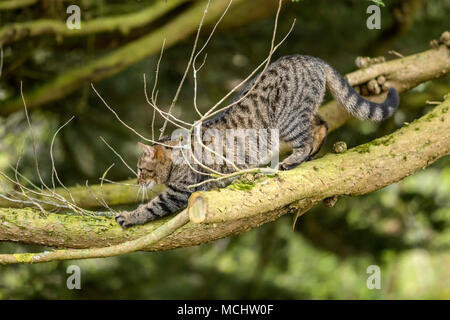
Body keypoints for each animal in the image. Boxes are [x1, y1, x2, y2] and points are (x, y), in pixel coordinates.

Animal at [115, 54, 398, 228]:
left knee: (305, 139)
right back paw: (310, 154)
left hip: (288, 119)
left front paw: (128, 216)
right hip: (304, 113)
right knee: (322, 125)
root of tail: (310, 58)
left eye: (141, 169)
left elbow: (151, 207)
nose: (138, 181)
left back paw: (293, 160)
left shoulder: (180, 192)